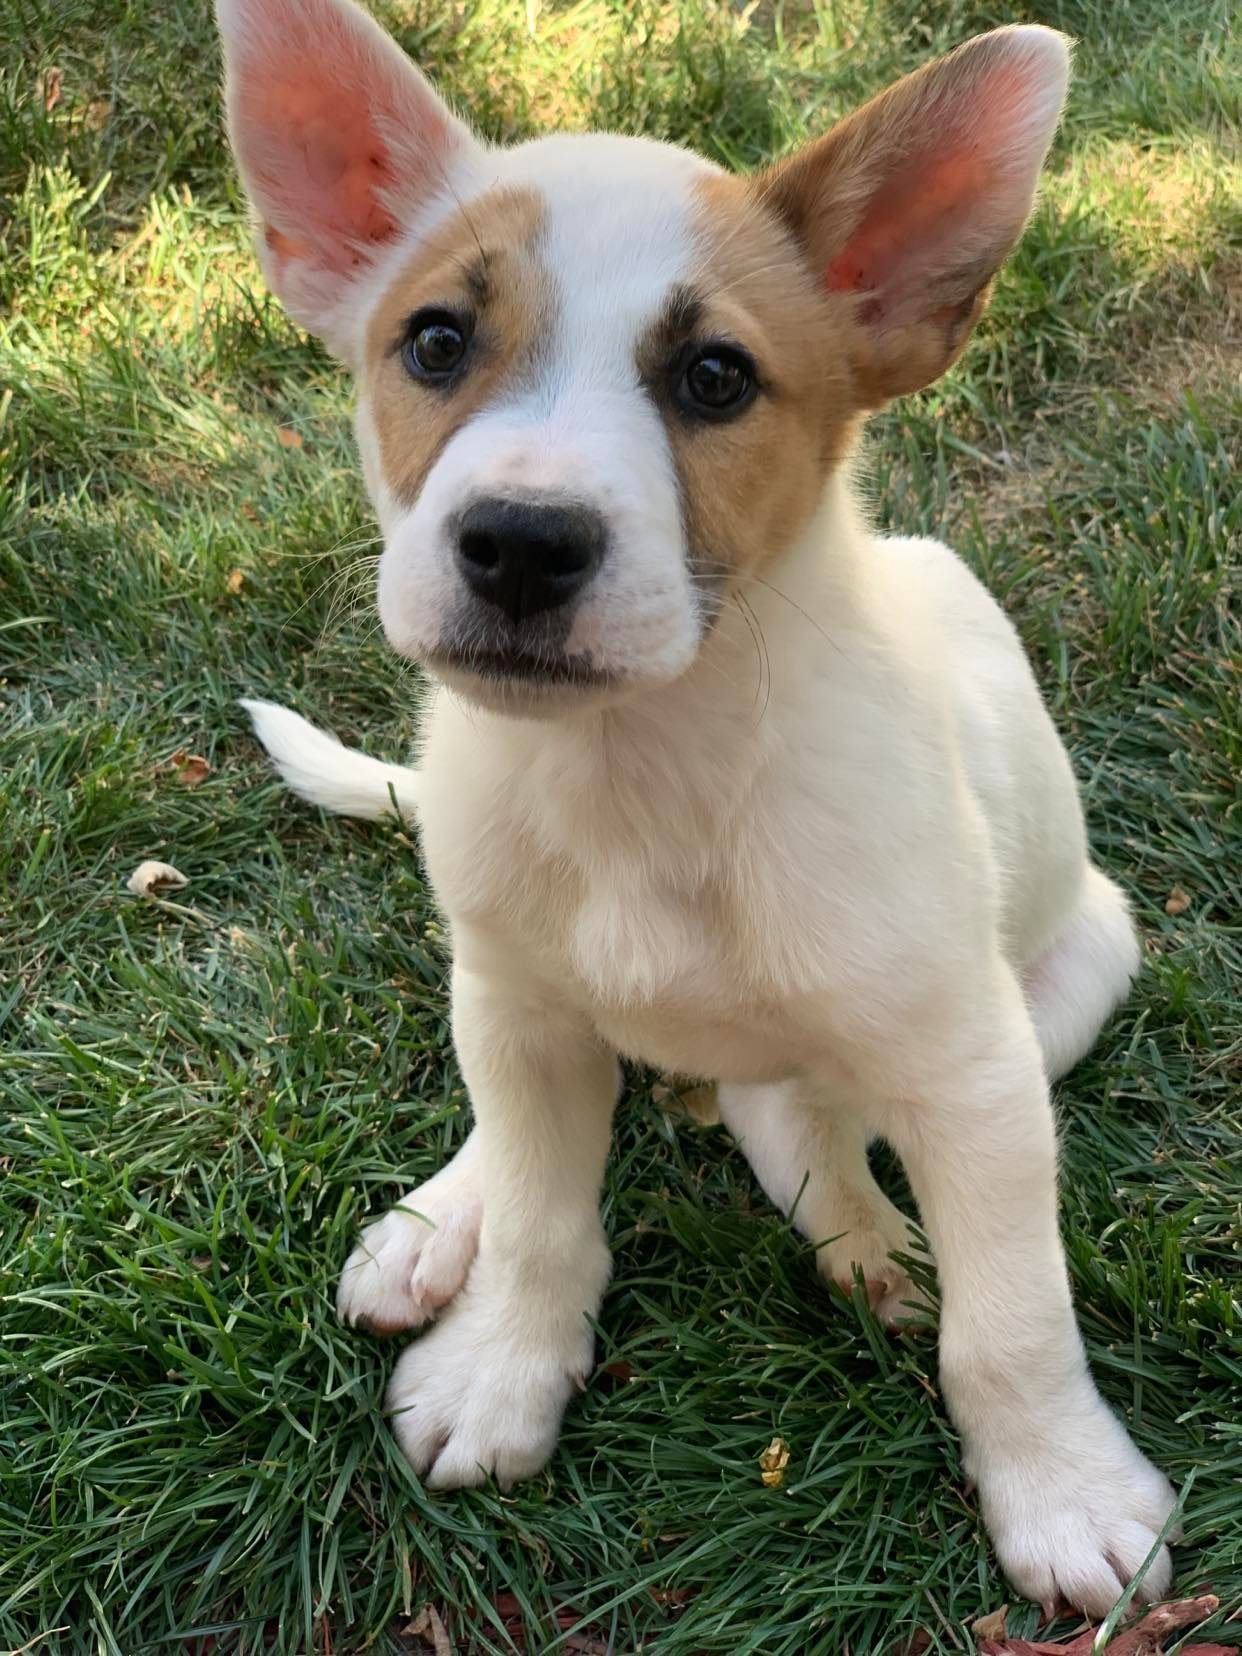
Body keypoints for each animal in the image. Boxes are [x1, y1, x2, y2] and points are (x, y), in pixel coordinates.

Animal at [218, 0, 1179, 1609]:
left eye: (716, 379)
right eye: (434, 342)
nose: (519, 544)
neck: (641, 769)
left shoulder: (972, 1074)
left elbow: (1012, 1317)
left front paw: (1062, 1490)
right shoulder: (520, 1007)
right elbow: (545, 1215)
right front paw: (503, 1365)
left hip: (1066, 988)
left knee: (794, 1110)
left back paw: (859, 1226)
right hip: (501, 987)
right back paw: (440, 1226)